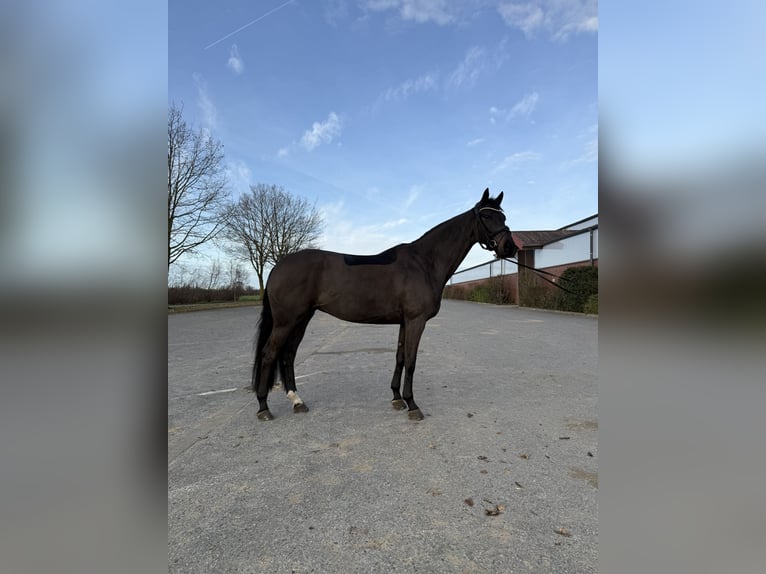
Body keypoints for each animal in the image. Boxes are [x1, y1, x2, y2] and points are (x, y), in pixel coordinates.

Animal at [252, 188, 517, 421]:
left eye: (503, 216)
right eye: (486, 216)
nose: (510, 247)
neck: (424, 262)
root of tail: (278, 266)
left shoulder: (404, 322)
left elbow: (399, 357)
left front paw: (397, 398)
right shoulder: (416, 321)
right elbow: (411, 360)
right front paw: (412, 405)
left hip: (301, 319)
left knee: (288, 355)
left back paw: (297, 401)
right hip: (287, 321)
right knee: (269, 354)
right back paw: (263, 407)